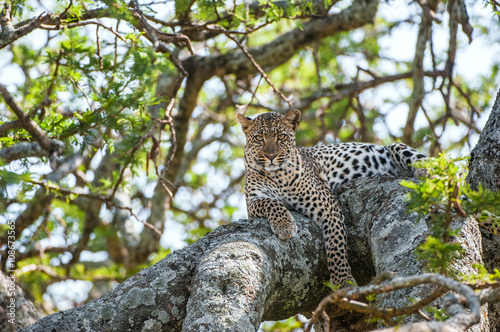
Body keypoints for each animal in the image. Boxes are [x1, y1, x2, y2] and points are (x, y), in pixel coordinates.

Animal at [236, 108, 428, 286]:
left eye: (281, 136)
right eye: (259, 138)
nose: (271, 156)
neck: (276, 175)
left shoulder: (328, 205)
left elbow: (336, 244)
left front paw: (342, 280)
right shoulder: (253, 202)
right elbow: (271, 202)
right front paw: (285, 224)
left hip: (396, 147)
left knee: (423, 159)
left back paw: (424, 172)